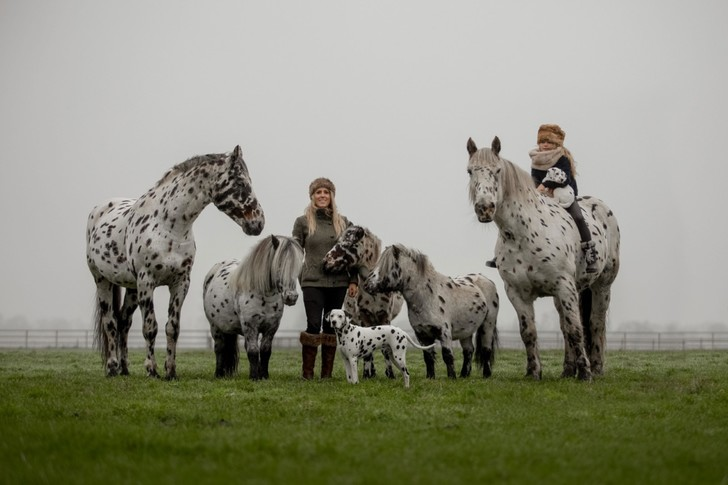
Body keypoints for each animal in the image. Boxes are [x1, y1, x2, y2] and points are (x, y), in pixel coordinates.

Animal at [86, 144, 264, 378]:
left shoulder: (180, 283)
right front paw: (152, 370)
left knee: (124, 322)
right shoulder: (147, 281)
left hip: (132, 288)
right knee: (110, 323)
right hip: (102, 280)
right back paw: (112, 367)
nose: (258, 223)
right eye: (241, 182)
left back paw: (124, 368)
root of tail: (99, 211)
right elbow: (150, 327)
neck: (168, 226)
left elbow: (172, 327)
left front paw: (170, 371)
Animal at [200, 233, 302, 378]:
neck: (265, 296)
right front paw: (254, 377)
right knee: (219, 348)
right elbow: (253, 351)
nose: (291, 297)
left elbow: (265, 351)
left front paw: (263, 375)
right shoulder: (250, 325)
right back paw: (219, 374)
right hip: (215, 326)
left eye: (297, 267)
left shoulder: (271, 327)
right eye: (279, 265)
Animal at [322, 223, 404, 378]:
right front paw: (367, 374)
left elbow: (385, 349)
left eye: (348, 243)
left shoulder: (385, 317)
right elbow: (367, 352)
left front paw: (390, 374)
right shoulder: (364, 316)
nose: (325, 262)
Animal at [364, 242, 500, 378]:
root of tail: (486, 279)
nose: (366, 285)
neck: (428, 297)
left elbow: (447, 356)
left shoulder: (444, 333)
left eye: (386, 266)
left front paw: (452, 378)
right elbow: (428, 357)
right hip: (466, 330)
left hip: (488, 324)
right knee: (468, 351)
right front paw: (430, 377)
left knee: (486, 349)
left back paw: (486, 375)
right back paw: (464, 375)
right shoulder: (422, 335)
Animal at [466, 134, 620, 380]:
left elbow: (576, 330)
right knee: (564, 326)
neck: (523, 233)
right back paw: (568, 370)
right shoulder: (517, 293)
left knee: (595, 323)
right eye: (470, 171)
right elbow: (529, 332)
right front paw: (533, 372)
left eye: (497, 170)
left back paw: (595, 368)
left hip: (601, 286)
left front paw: (585, 373)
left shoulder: (565, 286)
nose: (484, 208)